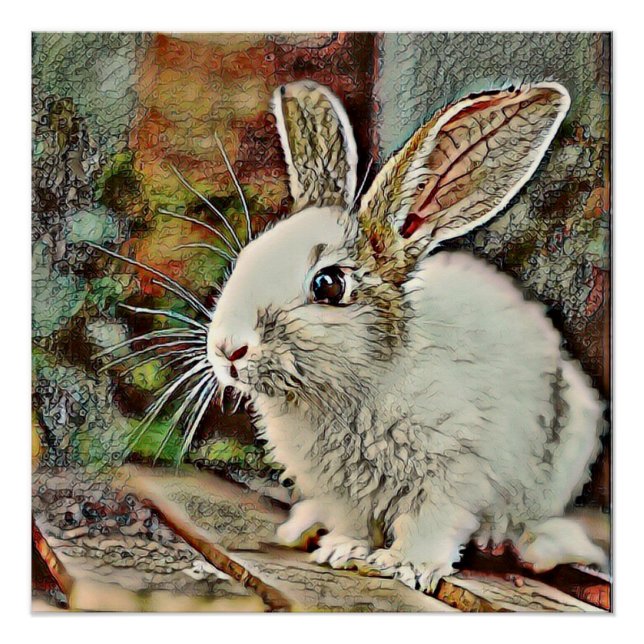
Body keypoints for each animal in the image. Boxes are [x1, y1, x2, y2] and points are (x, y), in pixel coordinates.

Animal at [205, 80, 608, 592]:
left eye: (329, 285)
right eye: (246, 259)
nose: (227, 349)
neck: (354, 386)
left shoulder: (452, 475)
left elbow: (431, 525)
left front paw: (406, 567)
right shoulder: (342, 491)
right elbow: (354, 522)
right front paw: (342, 551)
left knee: (524, 521)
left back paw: (514, 542)